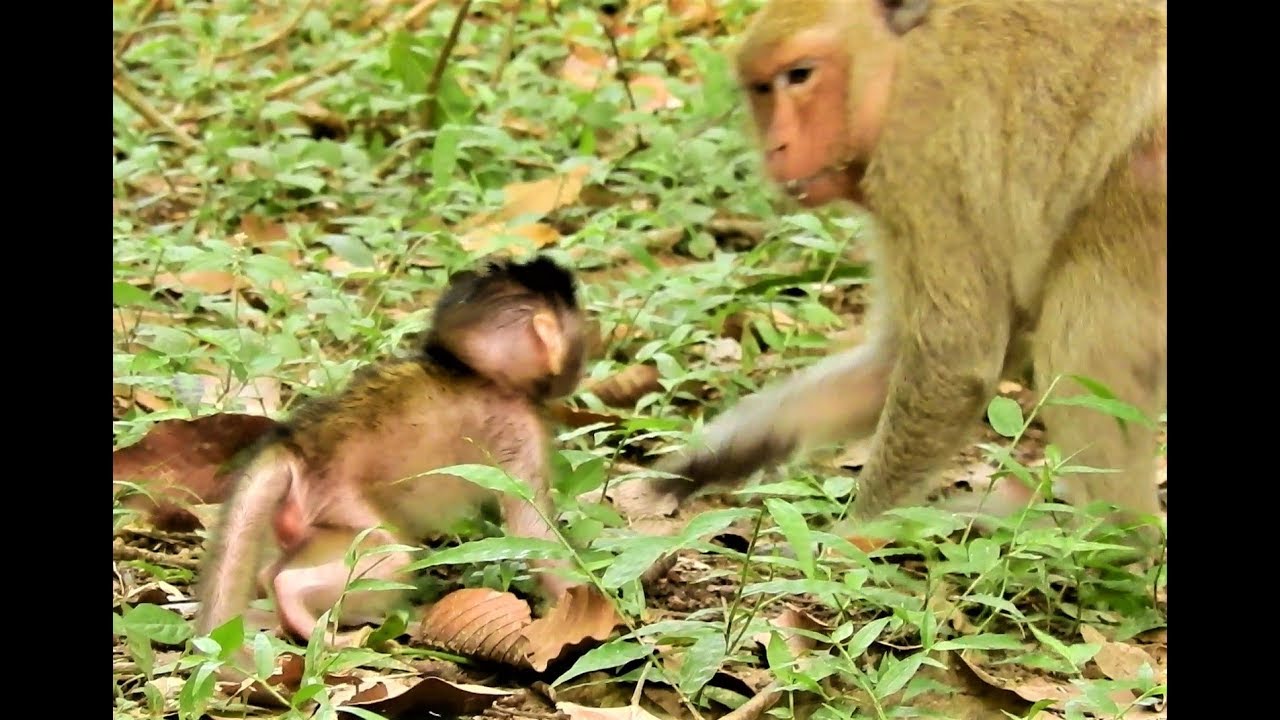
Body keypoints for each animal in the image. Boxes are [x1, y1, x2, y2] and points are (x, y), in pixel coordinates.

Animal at [194, 255, 590, 647]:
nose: (580, 360)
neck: (471, 371)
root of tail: (295, 444)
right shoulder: (519, 426)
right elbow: (535, 533)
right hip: (339, 499)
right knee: (392, 557)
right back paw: (299, 602)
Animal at [649, 0, 1167, 549]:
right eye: (762, 89)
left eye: (800, 75)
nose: (776, 148)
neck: (895, 62)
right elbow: (891, 362)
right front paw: (717, 454)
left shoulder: (918, 151)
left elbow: (955, 358)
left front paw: (853, 537)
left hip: (1147, 187)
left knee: (1077, 353)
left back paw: (1115, 540)